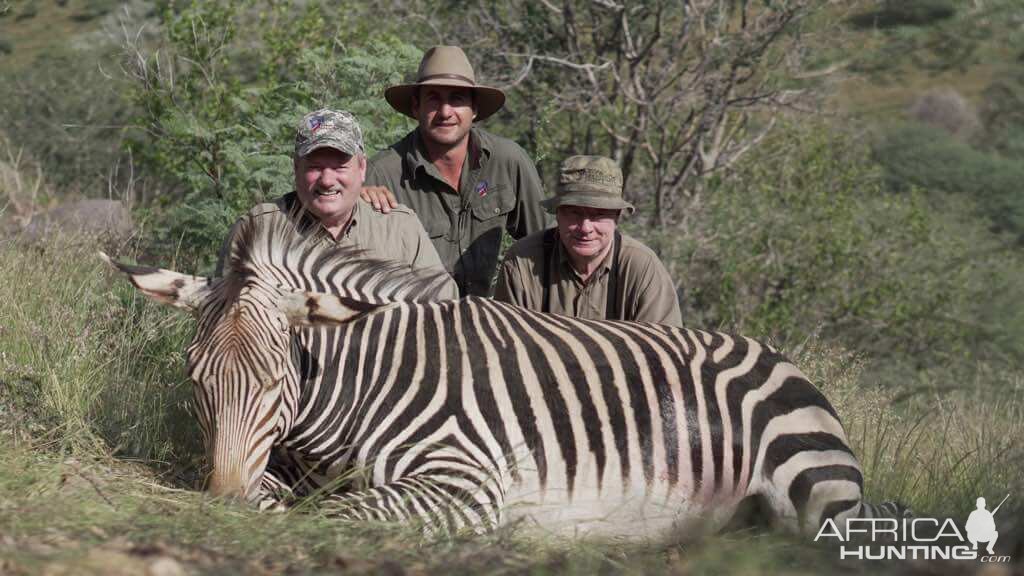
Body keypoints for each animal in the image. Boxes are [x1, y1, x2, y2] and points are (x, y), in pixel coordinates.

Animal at [103, 211, 905, 537]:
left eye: (277, 381)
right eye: (195, 379)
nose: (221, 506)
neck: (365, 380)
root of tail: (789, 363)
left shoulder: (468, 479)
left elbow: (335, 513)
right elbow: (285, 495)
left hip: (808, 493)